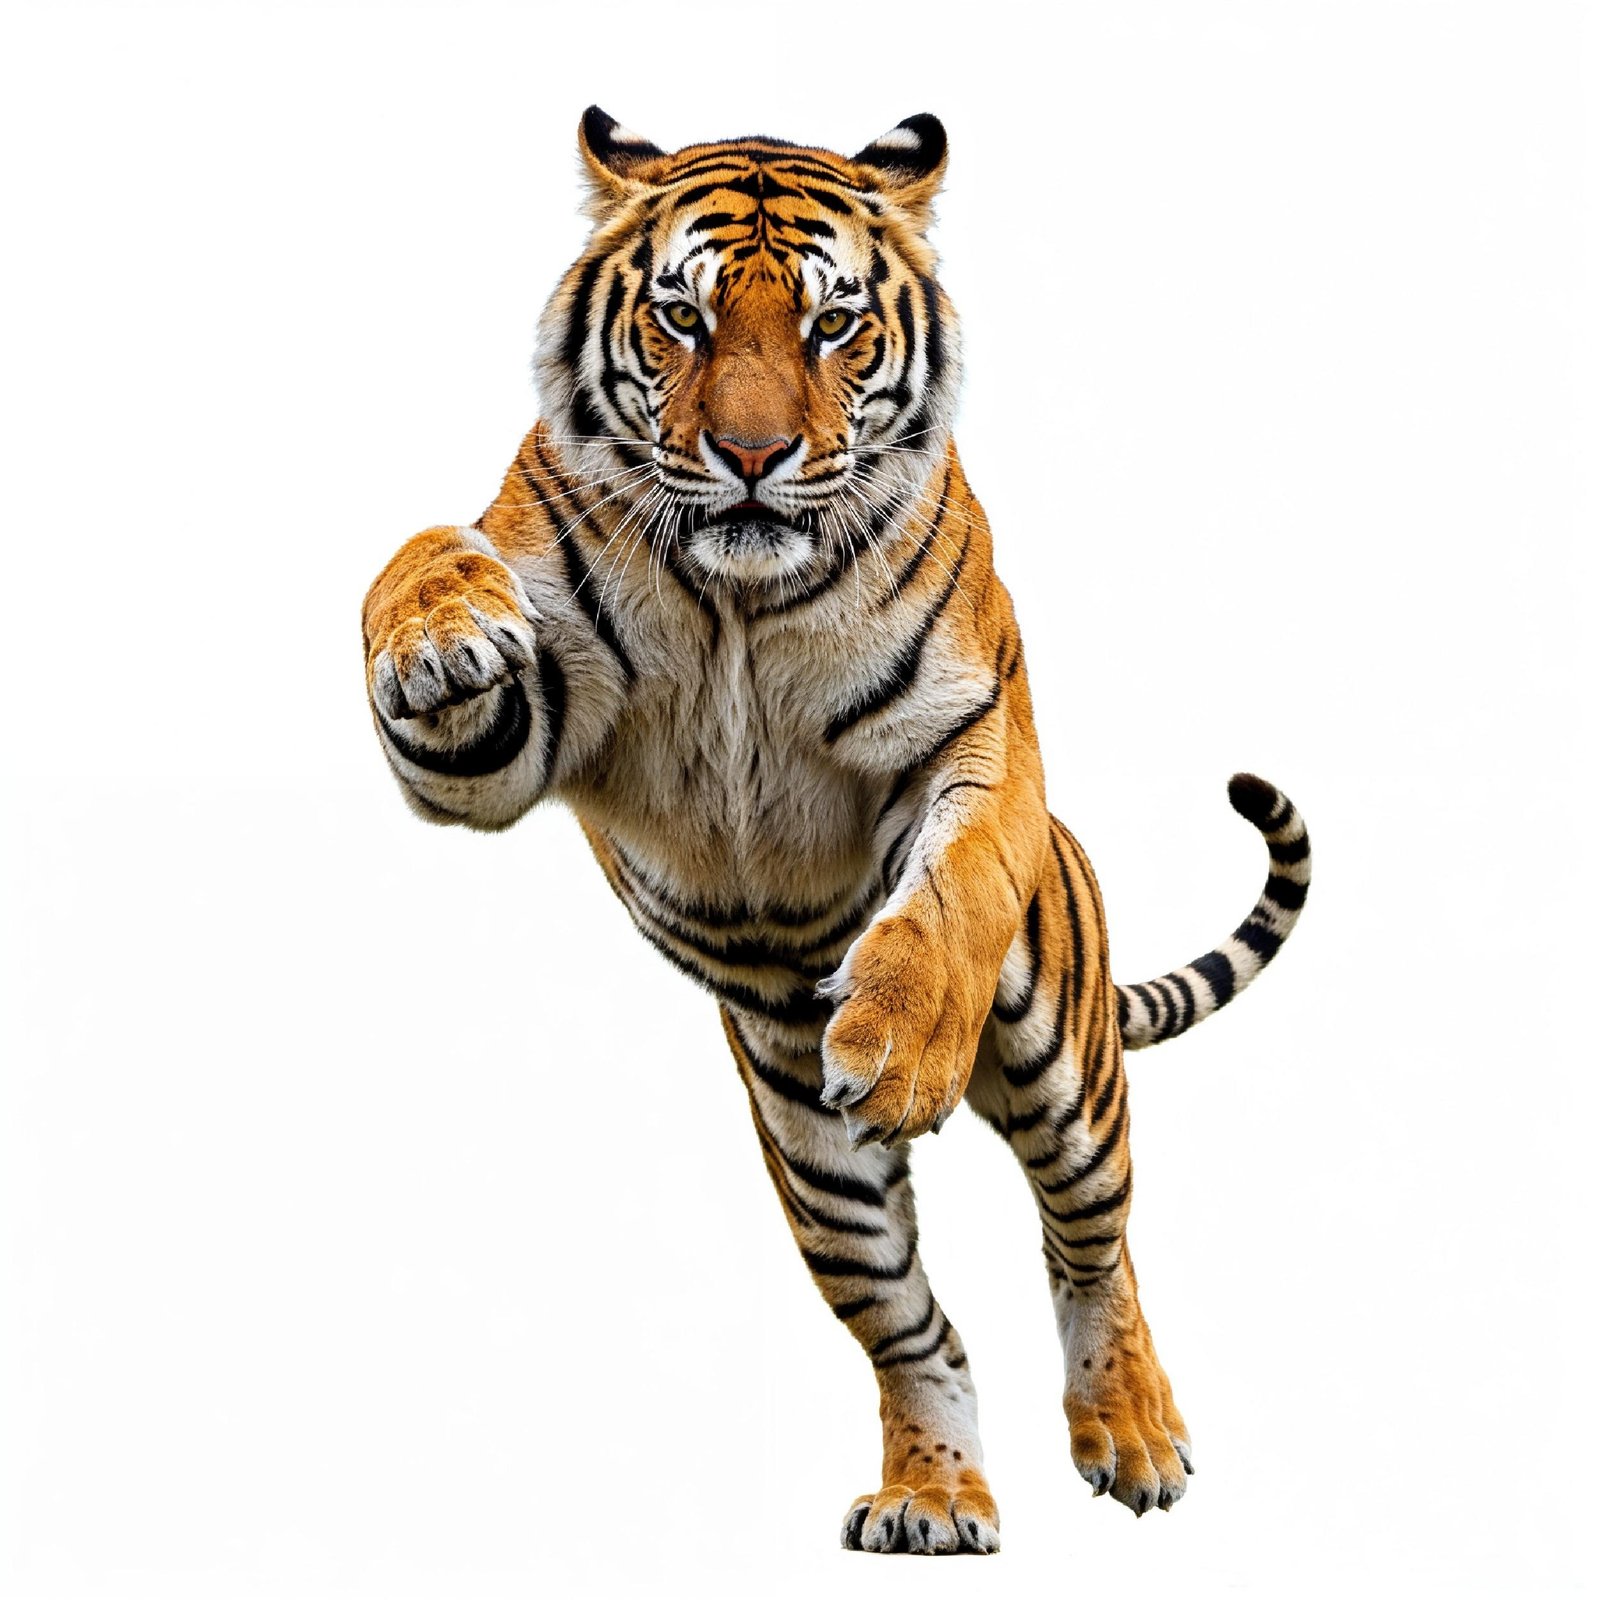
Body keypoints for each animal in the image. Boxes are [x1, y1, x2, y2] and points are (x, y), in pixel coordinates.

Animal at [360, 107, 1311, 1554]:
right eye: (683, 319)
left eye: (834, 325)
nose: (751, 457)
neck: (740, 599)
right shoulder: (512, 742)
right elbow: (419, 560)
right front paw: (436, 632)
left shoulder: (976, 730)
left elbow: (952, 887)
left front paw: (902, 1038)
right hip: (815, 1164)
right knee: (915, 1327)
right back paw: (934, 1494)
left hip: (1064, 1059)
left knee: (1094, 1243)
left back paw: (1133, 1436)